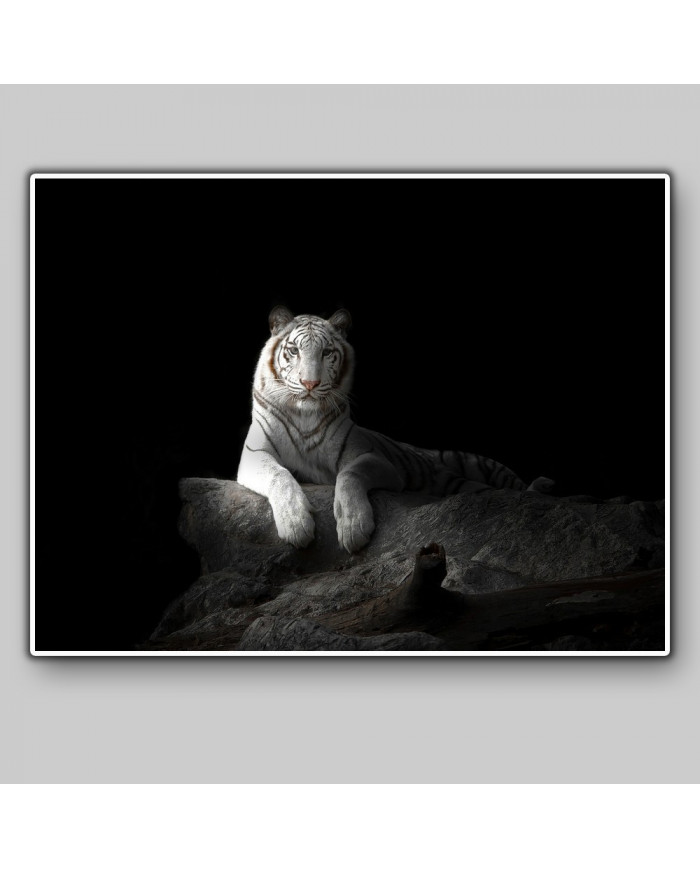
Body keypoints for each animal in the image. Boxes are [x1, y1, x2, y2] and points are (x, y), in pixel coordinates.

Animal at [236, 306, 554, 554]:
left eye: (326, 352)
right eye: (293, 350)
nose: (310, 384)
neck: (304, 414)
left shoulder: (375, 459)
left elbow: (349, 474)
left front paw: (354, 527)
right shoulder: (254, 454)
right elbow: (280, 476)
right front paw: (296, 525)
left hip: (481, 465)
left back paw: (542, 488)